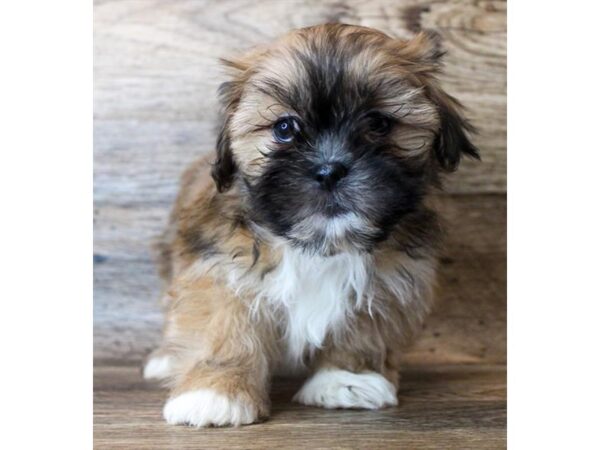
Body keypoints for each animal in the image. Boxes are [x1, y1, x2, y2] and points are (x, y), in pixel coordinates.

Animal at [144, 22, 478, 428]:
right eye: (284, 128)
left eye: (379, 123)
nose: (329, 170)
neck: (319, 244)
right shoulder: (222, 267)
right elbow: (224, 326)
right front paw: (214, 391)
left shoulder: (388, 281)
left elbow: (363, 329)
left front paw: (347, 380)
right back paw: (165, 359)